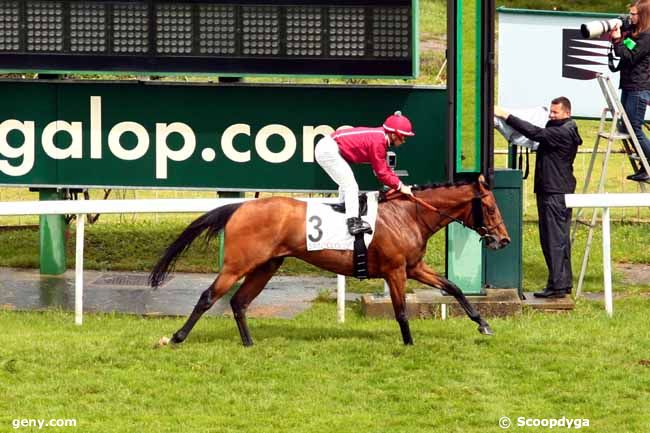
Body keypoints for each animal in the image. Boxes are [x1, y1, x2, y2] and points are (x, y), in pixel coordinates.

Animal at [149, 174, 508, 346]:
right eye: (491, 208)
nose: (503, 239)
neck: (409, 214)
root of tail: (240, 206)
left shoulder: (414, 267)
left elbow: (453, 288)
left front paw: (484, 324)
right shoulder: (395, 270)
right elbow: (402, 311)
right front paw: (409, 344)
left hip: (266, 266)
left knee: (239, 302)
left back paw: (249, 343)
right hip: (238, 264)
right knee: (209, 296)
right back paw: (177, 337)